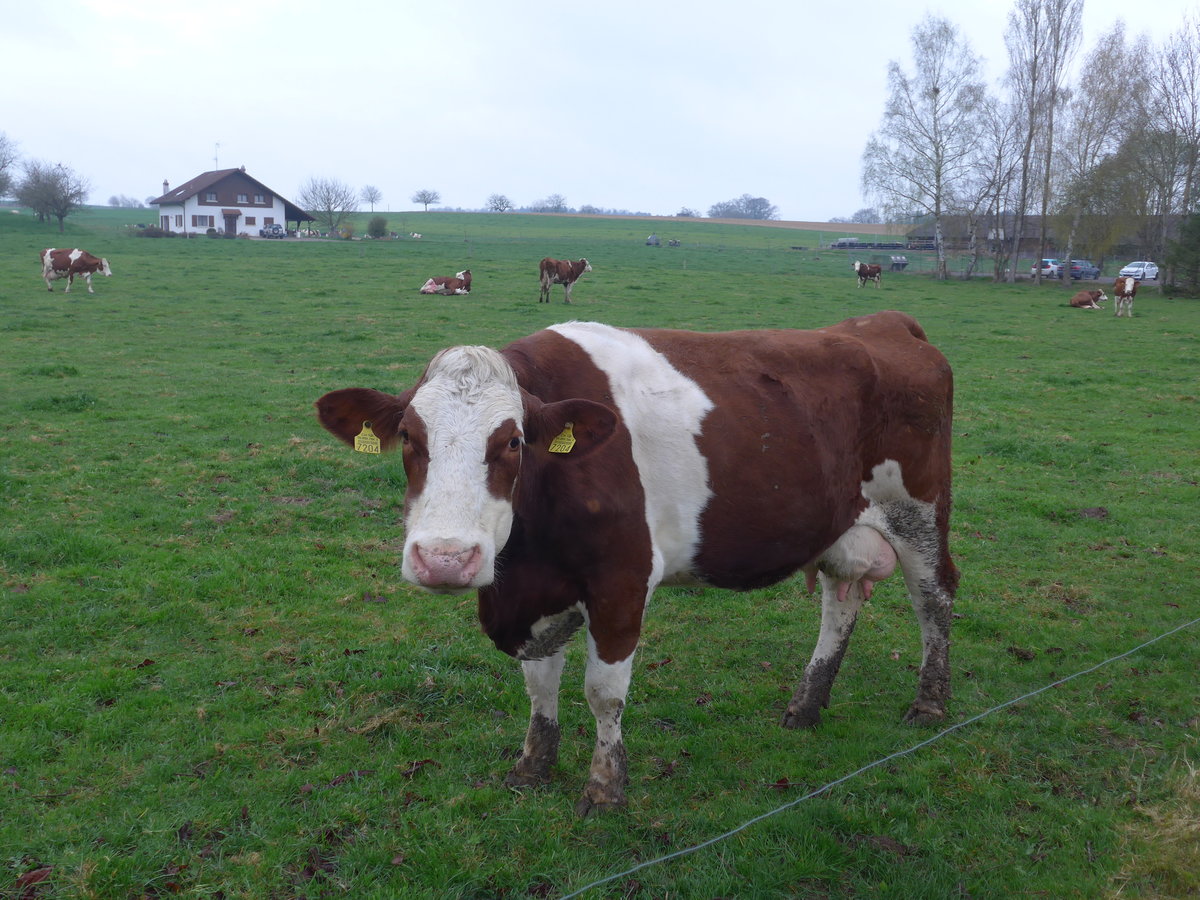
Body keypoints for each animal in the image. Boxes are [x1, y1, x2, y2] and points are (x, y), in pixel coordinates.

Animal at [314, 311, 958, 815]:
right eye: (407, 436)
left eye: (513, 442)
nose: (445, 559)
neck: (524, 560)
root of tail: (883, 323)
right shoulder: (533, 596)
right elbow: (538, 683)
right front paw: (533, 766)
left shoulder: (622, 581)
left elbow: (603, 691)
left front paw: (605, 789)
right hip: (839, 525)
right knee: (839, 600)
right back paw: (806, 705)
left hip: (919, 512)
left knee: (935, 596)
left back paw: (929, 702)